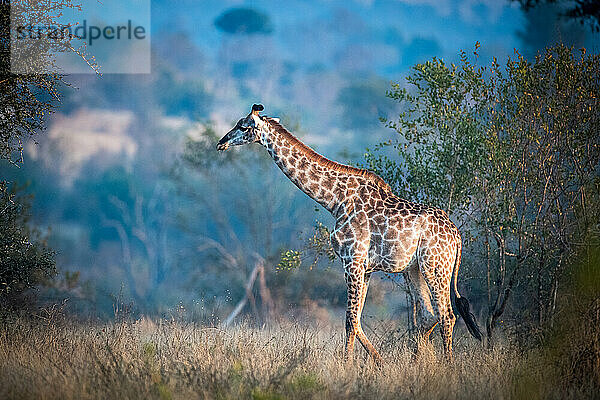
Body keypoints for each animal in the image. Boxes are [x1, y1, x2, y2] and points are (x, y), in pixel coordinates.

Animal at [216, 104, 482, 364]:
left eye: (242, 126)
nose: (221, 142)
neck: (335, 200)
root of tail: (457, 236)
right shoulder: (366, 267)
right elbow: (357, 319)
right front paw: (379, 362)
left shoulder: (351, 260)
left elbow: (349, 320)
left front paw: (348, 366)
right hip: (414, 269)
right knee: (429, 314)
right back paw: (417, 363)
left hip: (435, 265)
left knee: (447, 315)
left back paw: (447, 366)